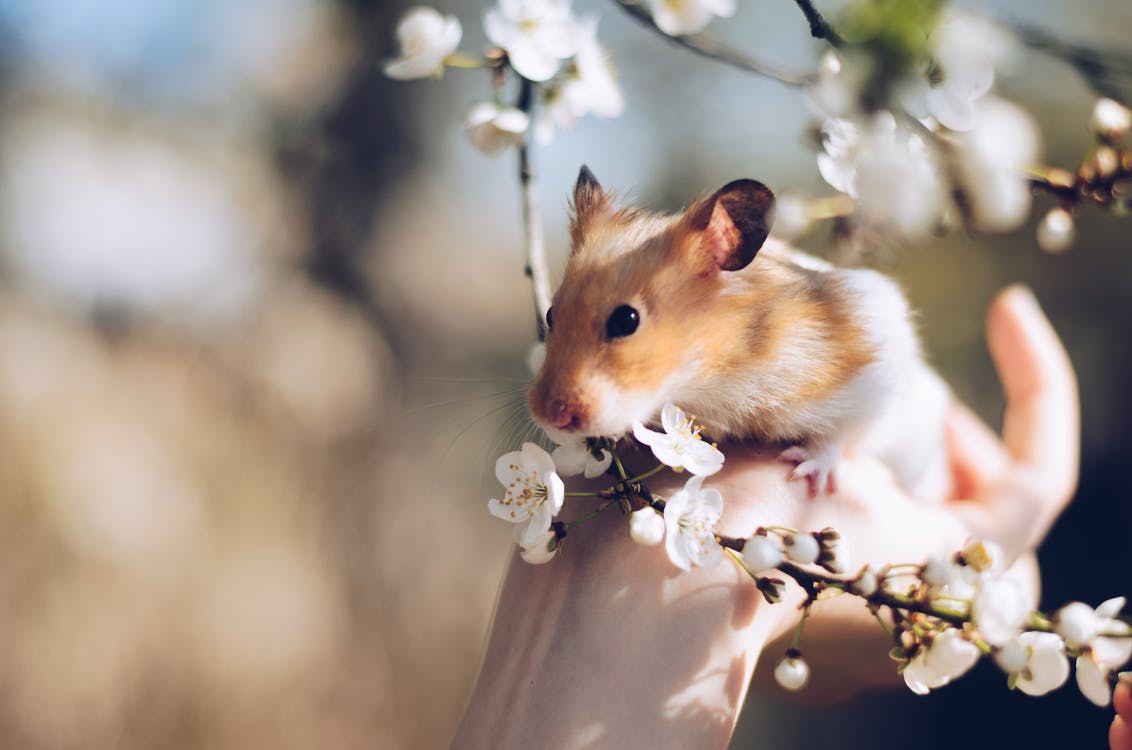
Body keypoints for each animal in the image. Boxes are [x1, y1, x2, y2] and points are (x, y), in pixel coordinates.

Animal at [528, 166, 950, 499]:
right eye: (550, 314)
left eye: (626, 320)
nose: (550, 416)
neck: (715, 374)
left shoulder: (876, 368)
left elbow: (842, 433)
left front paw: (805, 472)